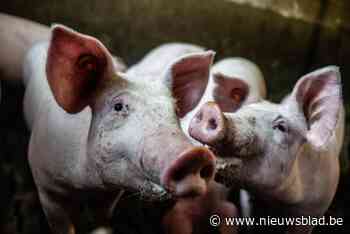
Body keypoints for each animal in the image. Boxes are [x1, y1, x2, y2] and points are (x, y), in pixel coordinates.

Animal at [2, 19, 219, 232]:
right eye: (118, 106)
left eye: (174, 109)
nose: (196, 154)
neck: (85, 185)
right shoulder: (46, 188)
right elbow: (61, 225)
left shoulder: (110, 193)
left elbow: (101, 219)